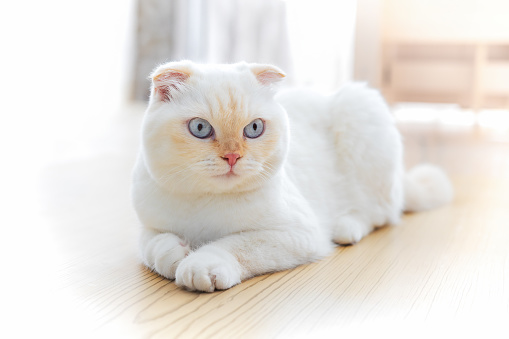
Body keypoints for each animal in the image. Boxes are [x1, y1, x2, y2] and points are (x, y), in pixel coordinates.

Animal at [131, 60, 452, 292]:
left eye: (254, 129)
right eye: (200, 128)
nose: (233, 157)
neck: (207, 203)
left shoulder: (295, 234)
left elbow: (233, 245)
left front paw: (199, 263)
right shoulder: (149, 227)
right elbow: (154, 247)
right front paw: (177, 254)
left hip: (361, 116)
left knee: (380, 214)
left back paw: (345, 228)